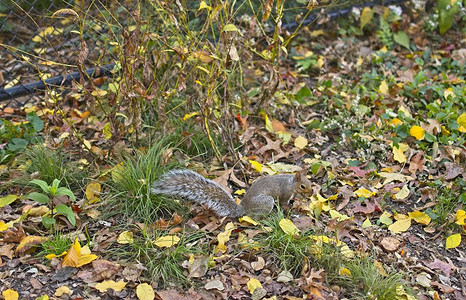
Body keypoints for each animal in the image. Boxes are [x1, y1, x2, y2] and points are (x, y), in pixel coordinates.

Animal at [152, 169, 314, 216]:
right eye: (303, 186)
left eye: (310, 183)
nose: (312, 193)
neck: (290, 183)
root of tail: (242, 208)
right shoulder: (285, 193)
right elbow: (284, 202)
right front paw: (289, 206)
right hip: (267, 202)